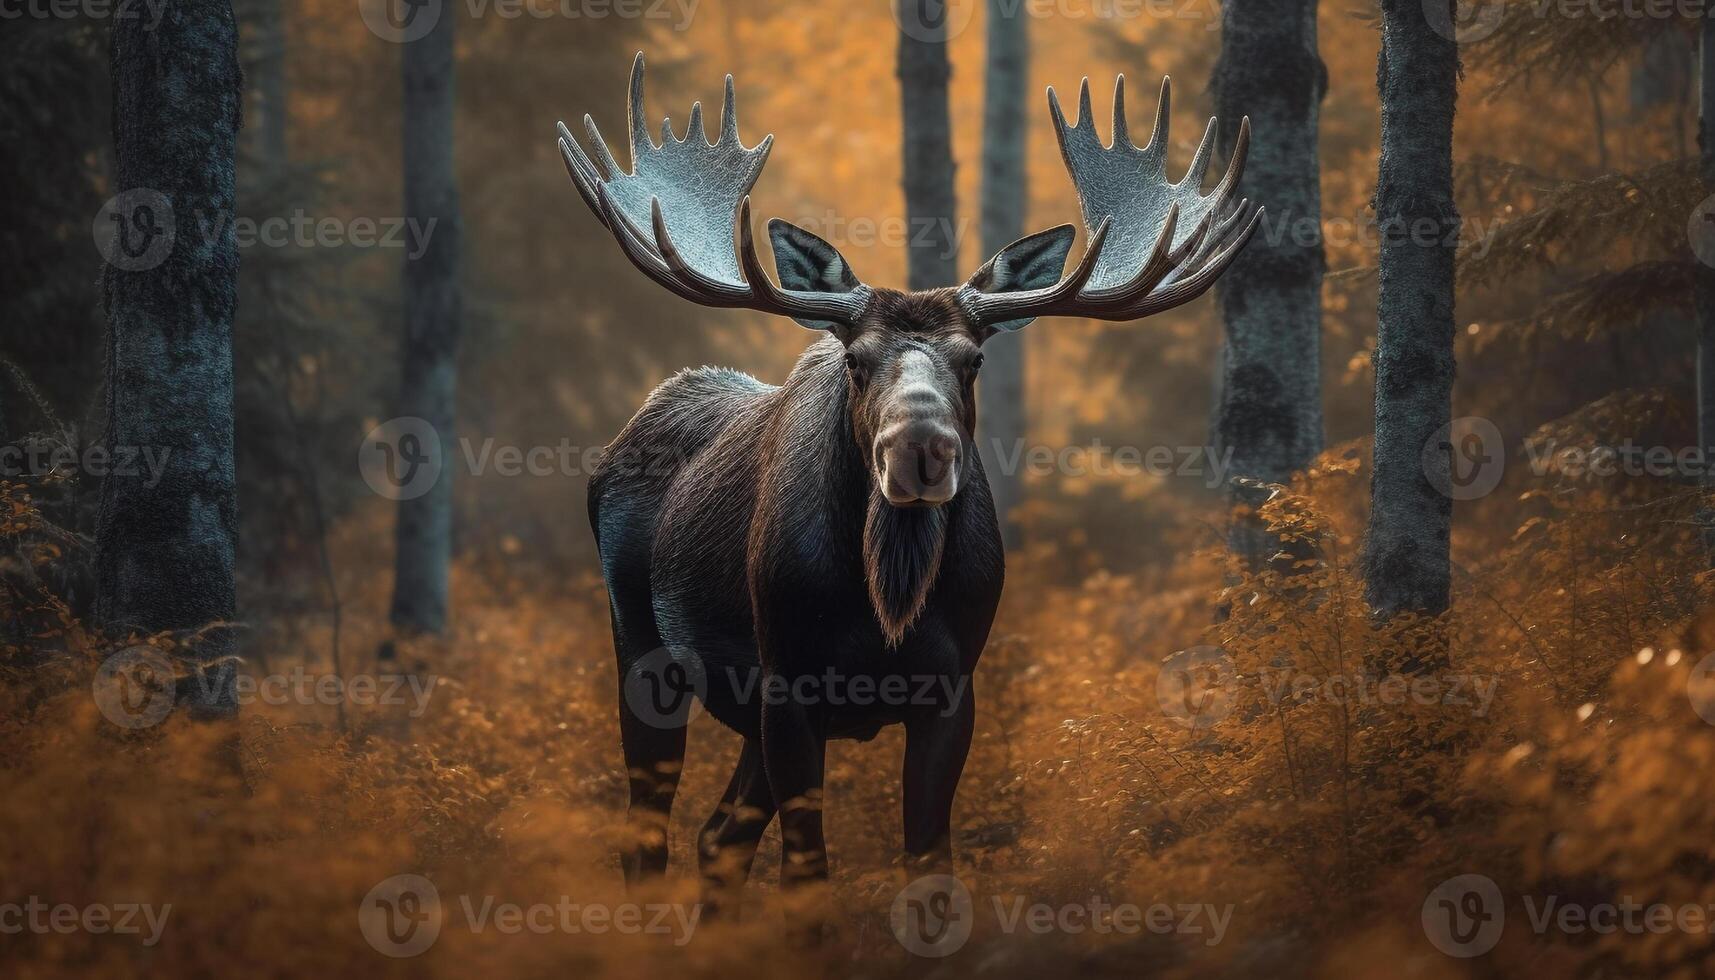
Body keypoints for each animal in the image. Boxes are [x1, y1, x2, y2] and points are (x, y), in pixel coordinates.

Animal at [562, 51, 1262, 899]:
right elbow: (807, 880)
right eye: (855, 360)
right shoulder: (790, 687)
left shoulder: (951, 691)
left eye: (974, 358)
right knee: (647, 837)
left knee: (718, 838)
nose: (919, 447)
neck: (886, 599)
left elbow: (929, 868)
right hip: (641, 647)